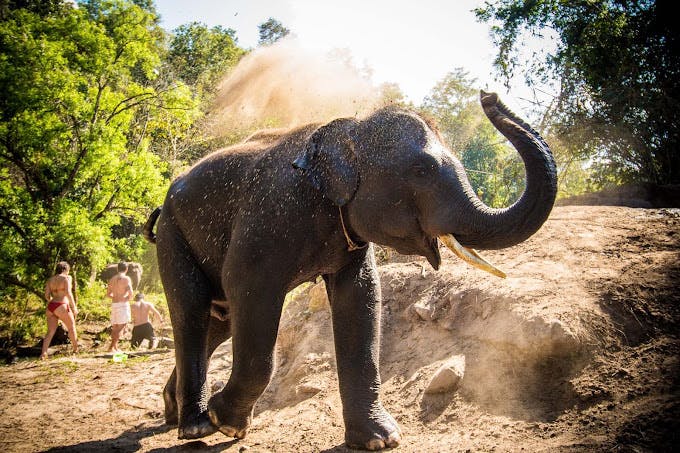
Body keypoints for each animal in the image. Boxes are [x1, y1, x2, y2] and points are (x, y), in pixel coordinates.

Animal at [143, 91, 557, 449]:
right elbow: (247, 286)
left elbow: (361, 297)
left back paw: (173, 412)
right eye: (422, 169)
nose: (489, 95)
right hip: (173, 236)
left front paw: (381, 441)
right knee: (192, 311)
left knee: (220, 322)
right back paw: (197, 426)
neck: (348, 129)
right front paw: (227, 423)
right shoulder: (269, 216)